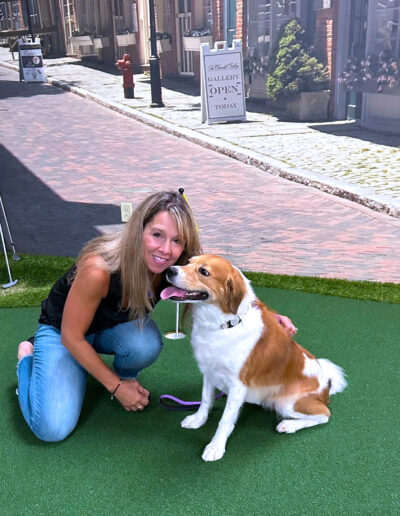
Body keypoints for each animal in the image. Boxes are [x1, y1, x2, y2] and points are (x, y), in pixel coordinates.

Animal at [161, 256, 346, 462]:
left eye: (204, 272)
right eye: (188, 262)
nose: (169, 270)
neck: (225, 325)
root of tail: (326, 384)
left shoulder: (237, 385)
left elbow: (225, 419)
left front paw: (216, 446)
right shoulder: (209, 372)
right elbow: (205, 400)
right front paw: (197, 420)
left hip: (286, 402)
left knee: (324, 414)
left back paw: (289, 424)